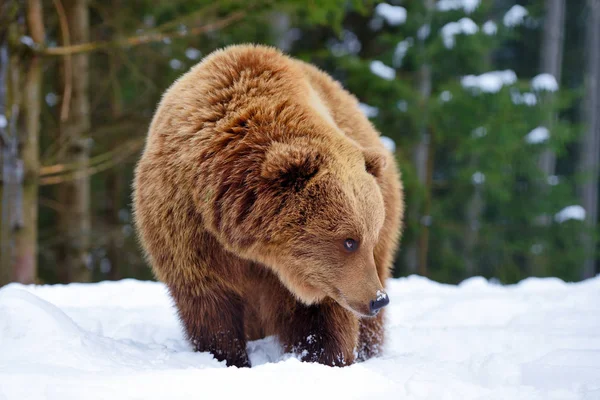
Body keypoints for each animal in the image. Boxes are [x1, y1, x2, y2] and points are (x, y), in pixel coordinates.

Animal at [131, 44, 404, 368]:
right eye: (349, 241)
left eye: (367, 237)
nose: (378, 299)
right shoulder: (188, 226)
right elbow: (210, 306)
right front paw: (230, 358)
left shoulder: (316, 275)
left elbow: (323, 317)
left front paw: (325, 358)